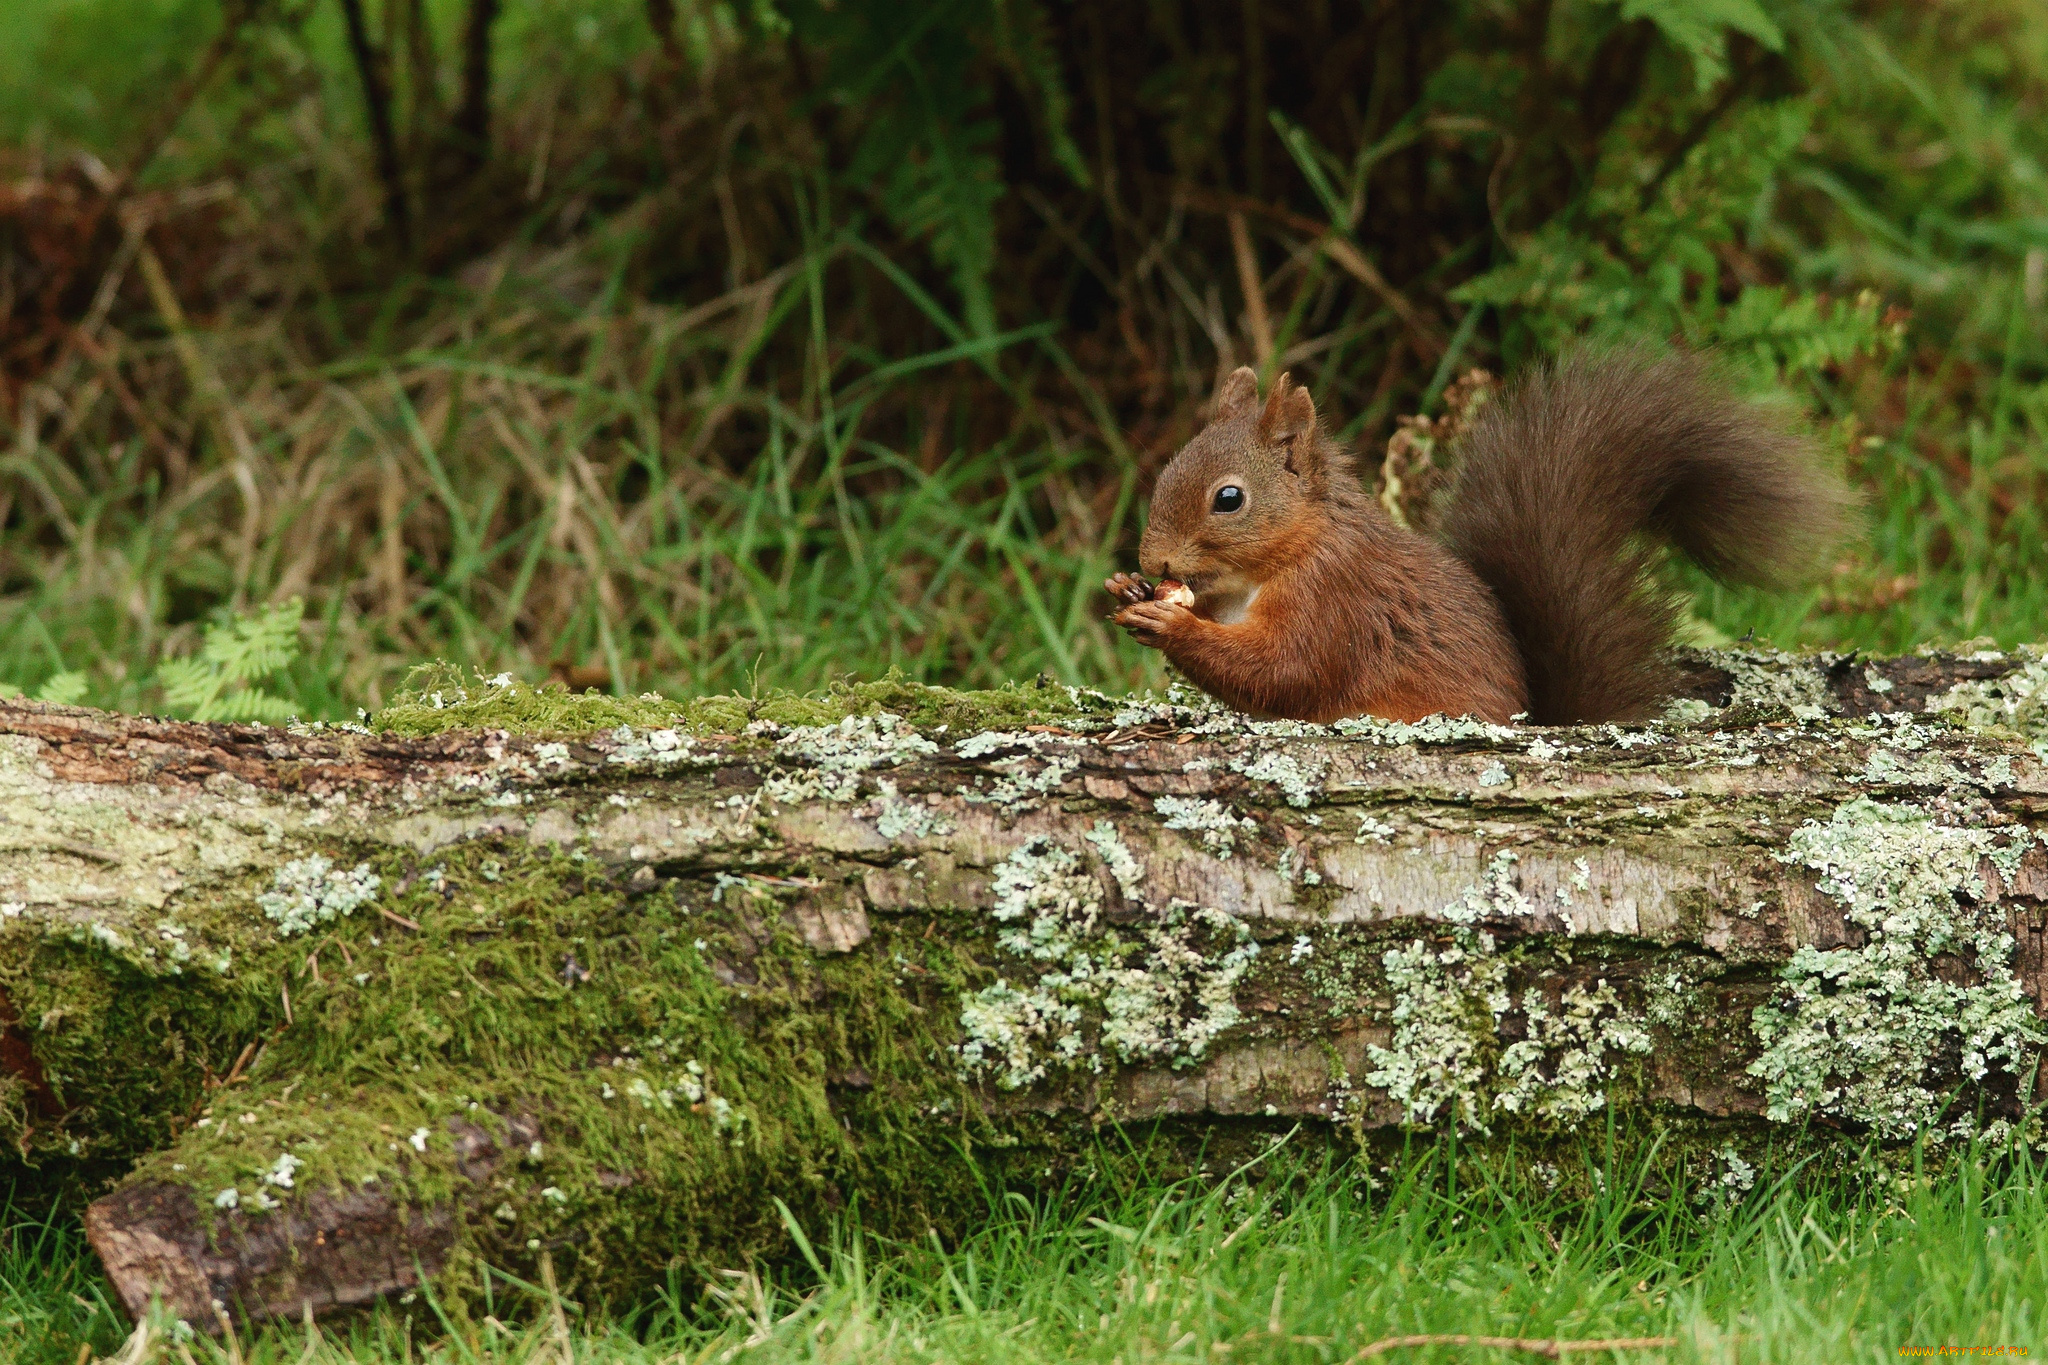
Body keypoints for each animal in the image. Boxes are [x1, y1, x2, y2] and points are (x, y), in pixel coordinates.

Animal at [1105, 358, 1859, 732]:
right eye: (1169, 468)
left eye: (1228, 498)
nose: (1153, 561)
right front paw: (1129, 590)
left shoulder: (1338, 602)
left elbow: (1284, 670)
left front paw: (1169, 623)